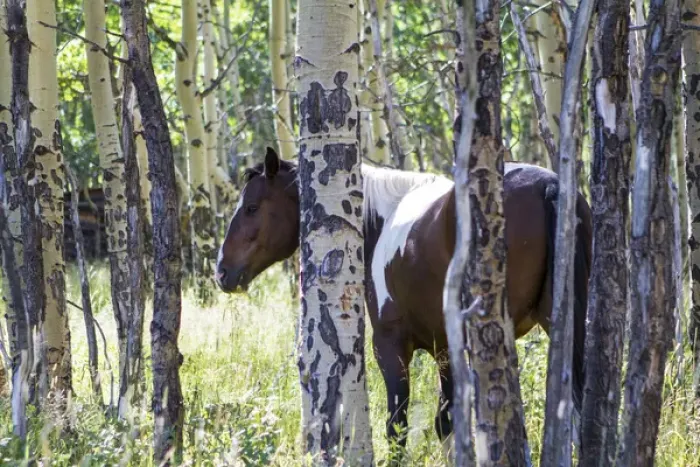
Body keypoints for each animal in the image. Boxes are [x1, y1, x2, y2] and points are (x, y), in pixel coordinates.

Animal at [216, 147, 592, 450]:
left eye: (251, 208)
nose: (222, 271)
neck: (379, 222)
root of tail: (550, 186)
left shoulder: (390, 345)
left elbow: (397, 427)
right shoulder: (444, 349)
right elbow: (446, 424)